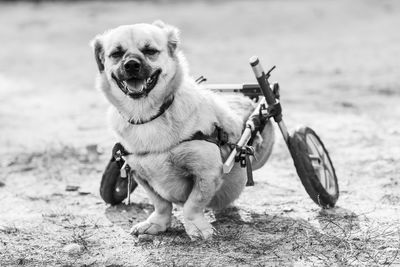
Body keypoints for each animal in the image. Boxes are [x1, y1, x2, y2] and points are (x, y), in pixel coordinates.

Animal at [92, 20, 276, 239]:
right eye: (116, 54)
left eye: (150, 51)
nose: (131, 64)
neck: (148, 116)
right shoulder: (138, 172)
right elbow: (161, 204)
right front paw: (157, 223)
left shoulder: (207, 172)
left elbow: (192, 205)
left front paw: (197, 227)